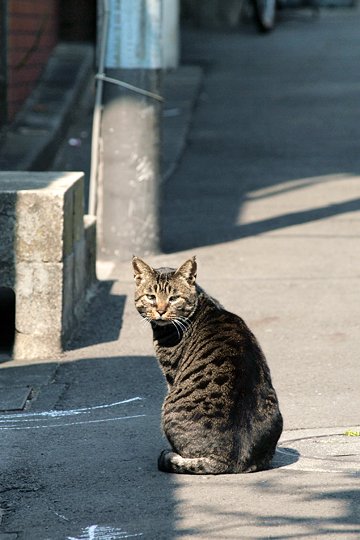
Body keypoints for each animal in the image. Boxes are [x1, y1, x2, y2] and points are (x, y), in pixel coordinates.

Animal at [131, 256, 282, 472]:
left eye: (173, 298)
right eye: (151, 297)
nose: (160, 311)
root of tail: (228, 459)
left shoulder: (171, 374)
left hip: (168, 407)